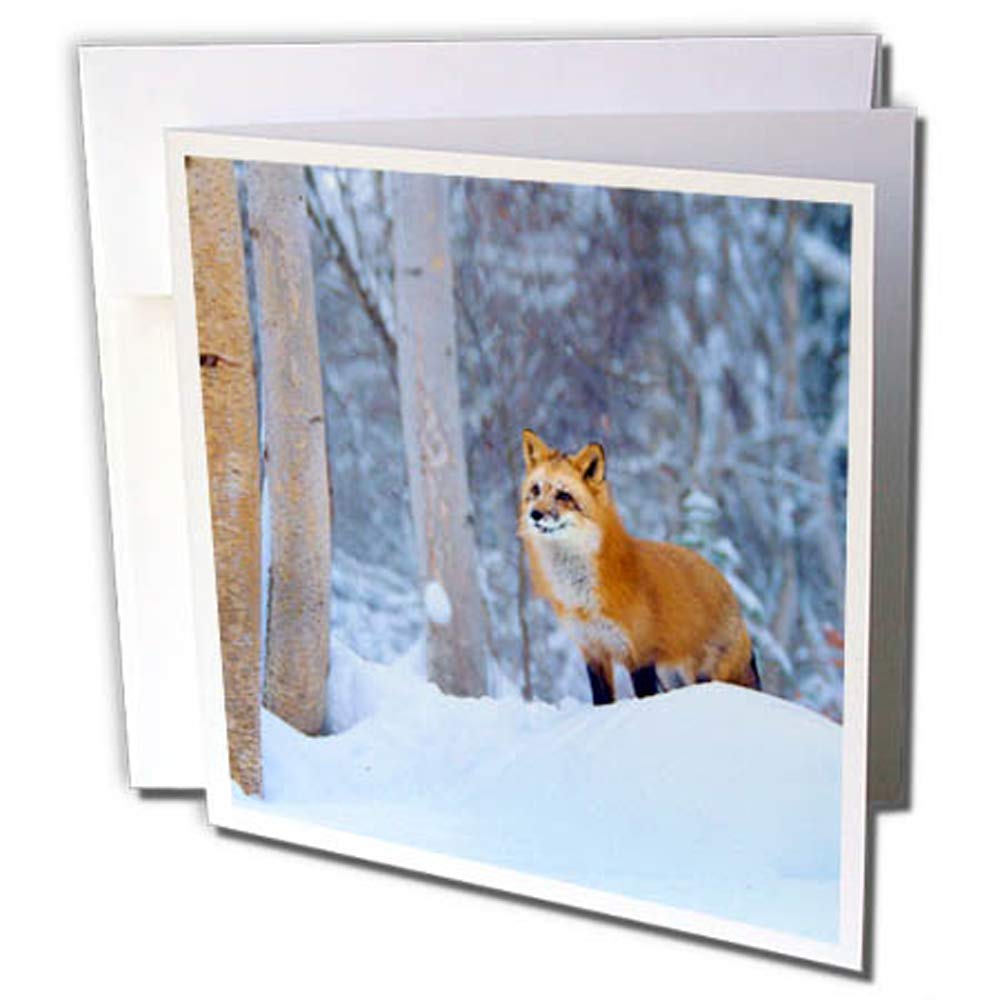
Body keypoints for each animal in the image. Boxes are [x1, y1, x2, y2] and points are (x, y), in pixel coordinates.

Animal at [518, 429, 760, 706]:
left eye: (563, 495)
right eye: (536, 490)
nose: (535, 514)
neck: (582, 595)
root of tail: (728, 587)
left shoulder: (640, 655)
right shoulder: (593, 650)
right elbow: (602, 700)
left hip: (702, 674)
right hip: (671, 678)